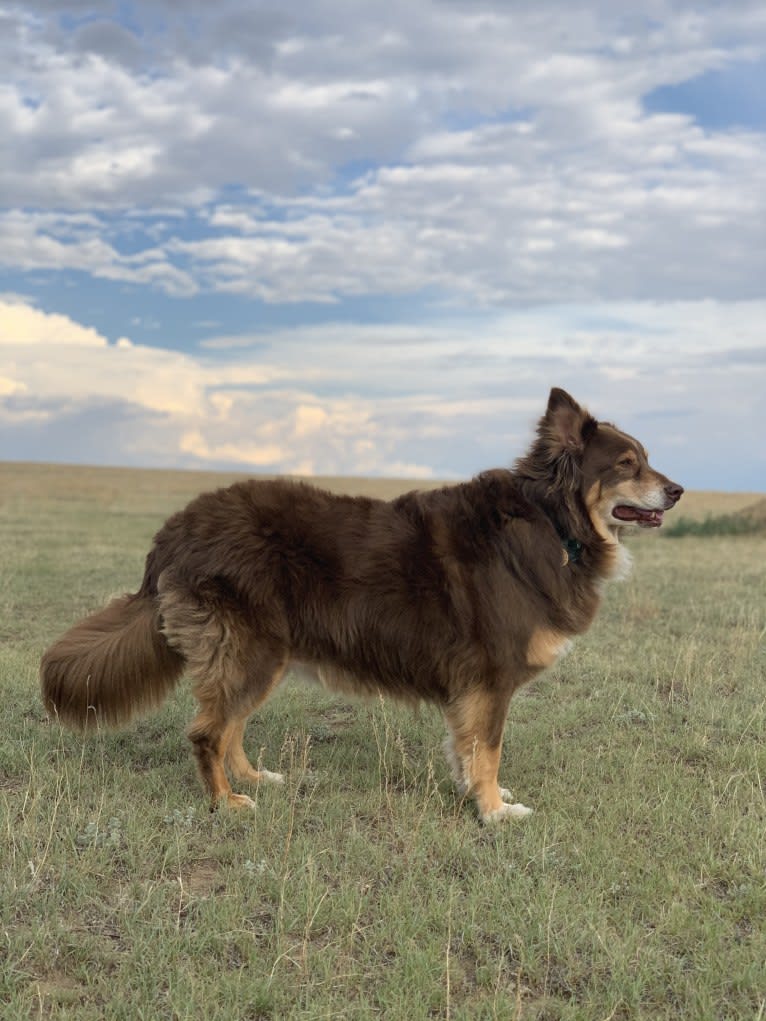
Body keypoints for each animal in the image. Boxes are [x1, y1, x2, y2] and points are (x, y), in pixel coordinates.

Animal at [39, 385, 682, 824]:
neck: (552, 522)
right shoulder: (491, 681)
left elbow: (468, 750)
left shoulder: (473, 689)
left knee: (229, 726)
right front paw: (493, 811)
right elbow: (489, 750)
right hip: (251, 650)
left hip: (261, 654)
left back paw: (254, 777)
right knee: (206, 732)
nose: (677, 490)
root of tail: (174, 532)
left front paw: (476, 795)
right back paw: (226, 801)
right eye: (627, 464)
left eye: (647, 459)